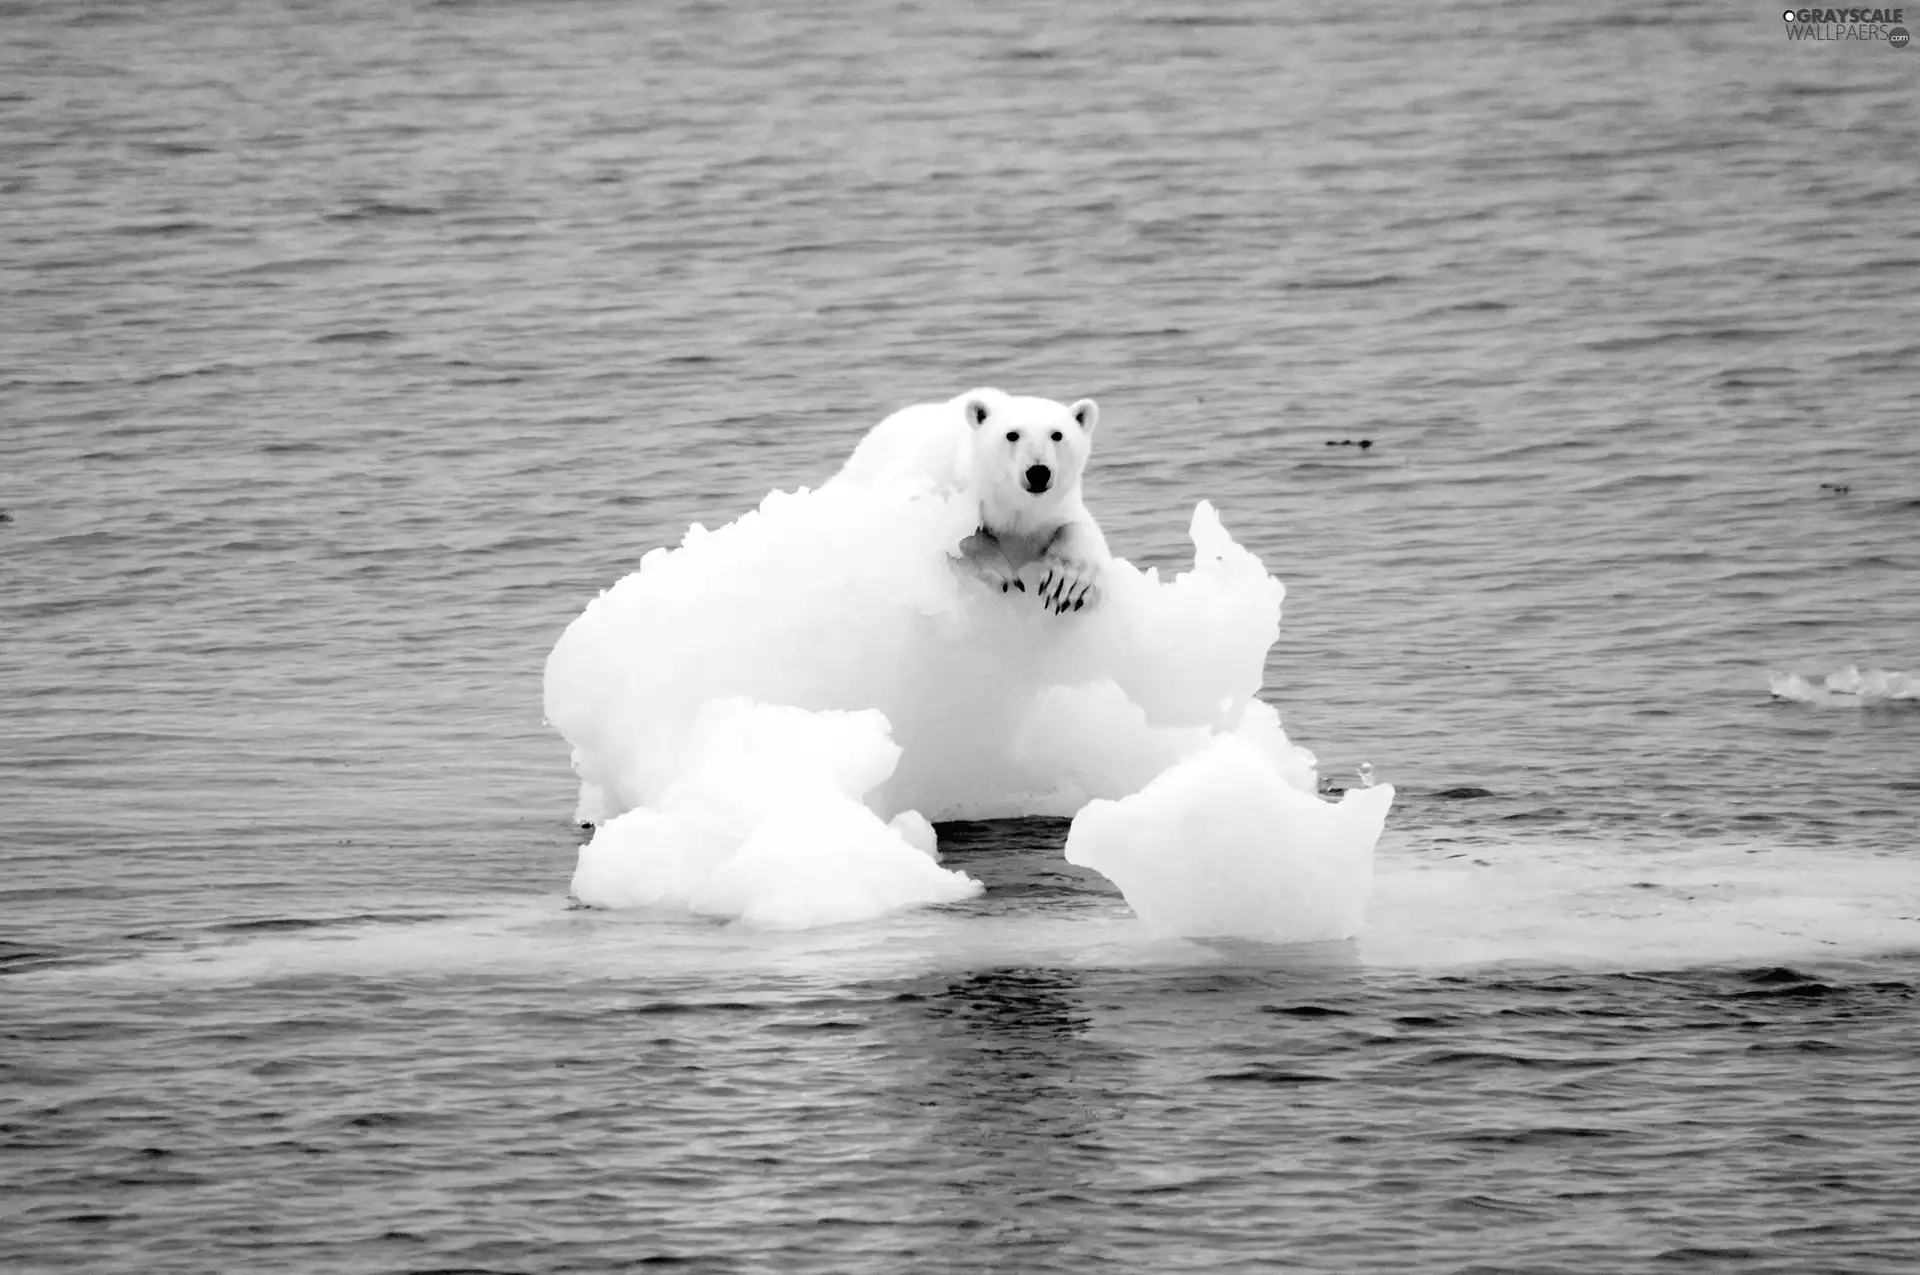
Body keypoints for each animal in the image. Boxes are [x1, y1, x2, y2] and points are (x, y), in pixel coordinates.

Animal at [837, 384, 1113, 614]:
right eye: (1012, 434)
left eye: (1057, 434)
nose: (1038, 472)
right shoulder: (937, 483)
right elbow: (951, 529)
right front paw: (1001, 571)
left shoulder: (1056, 508)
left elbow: (1078, 528)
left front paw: (1068, 584)